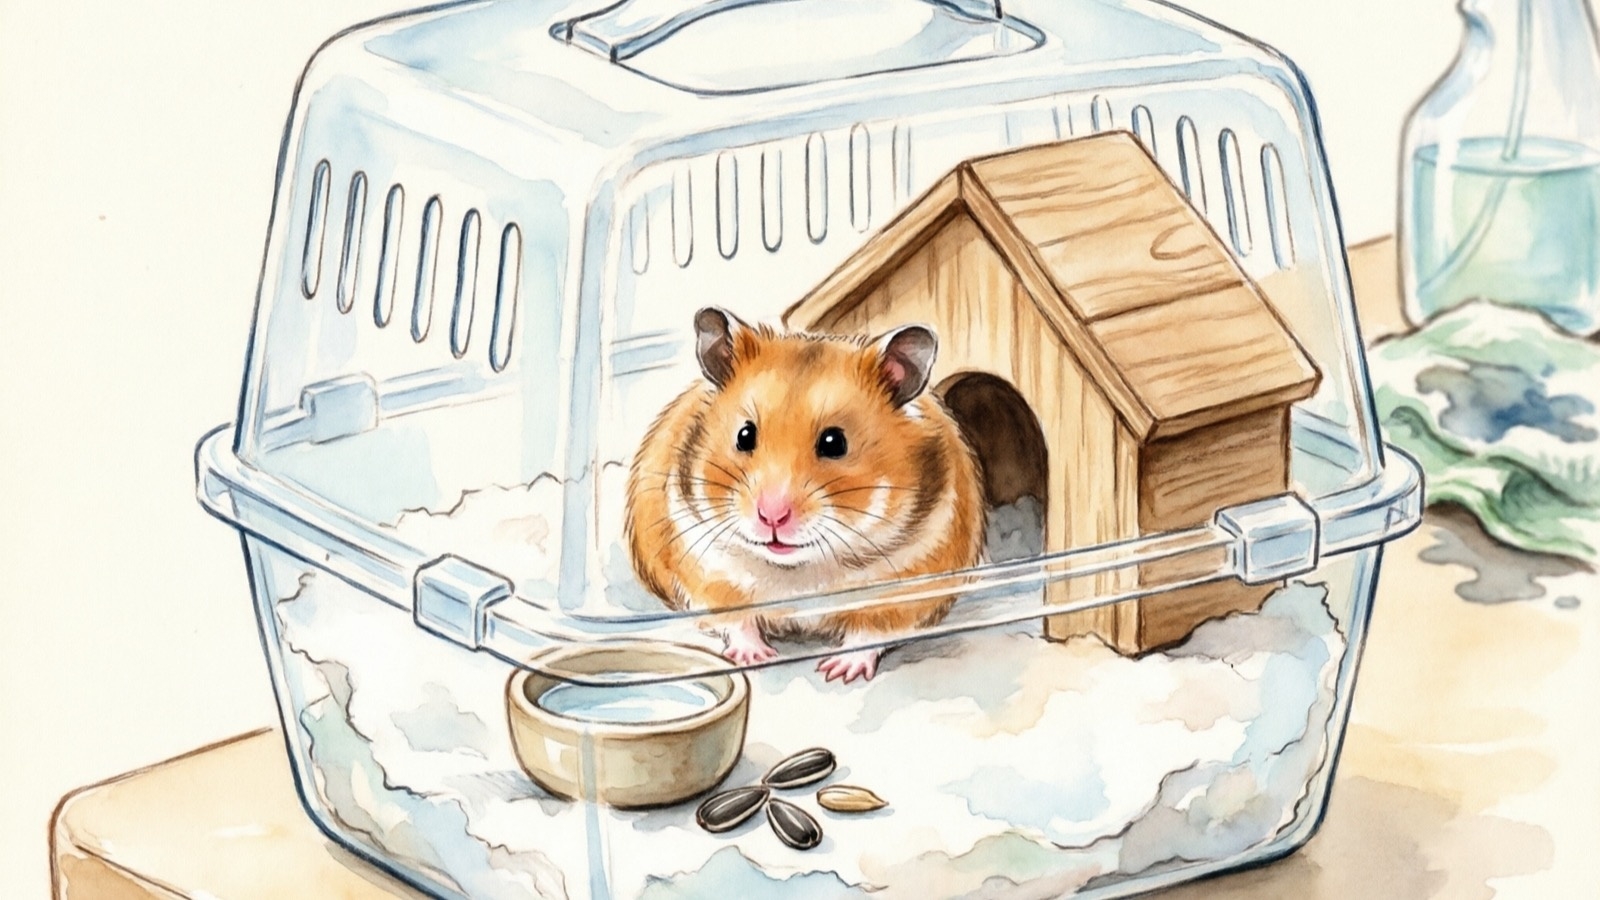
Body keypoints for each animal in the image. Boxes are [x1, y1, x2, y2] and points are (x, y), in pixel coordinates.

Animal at [624, 307, 986, 683]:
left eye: (834, 442)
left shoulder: (908, 588)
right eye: (744, 435)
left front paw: (837, 671)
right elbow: (736, 620)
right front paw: (755, 657)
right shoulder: (708, 573)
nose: (772, 516)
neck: (799, 571)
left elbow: (870, 634)